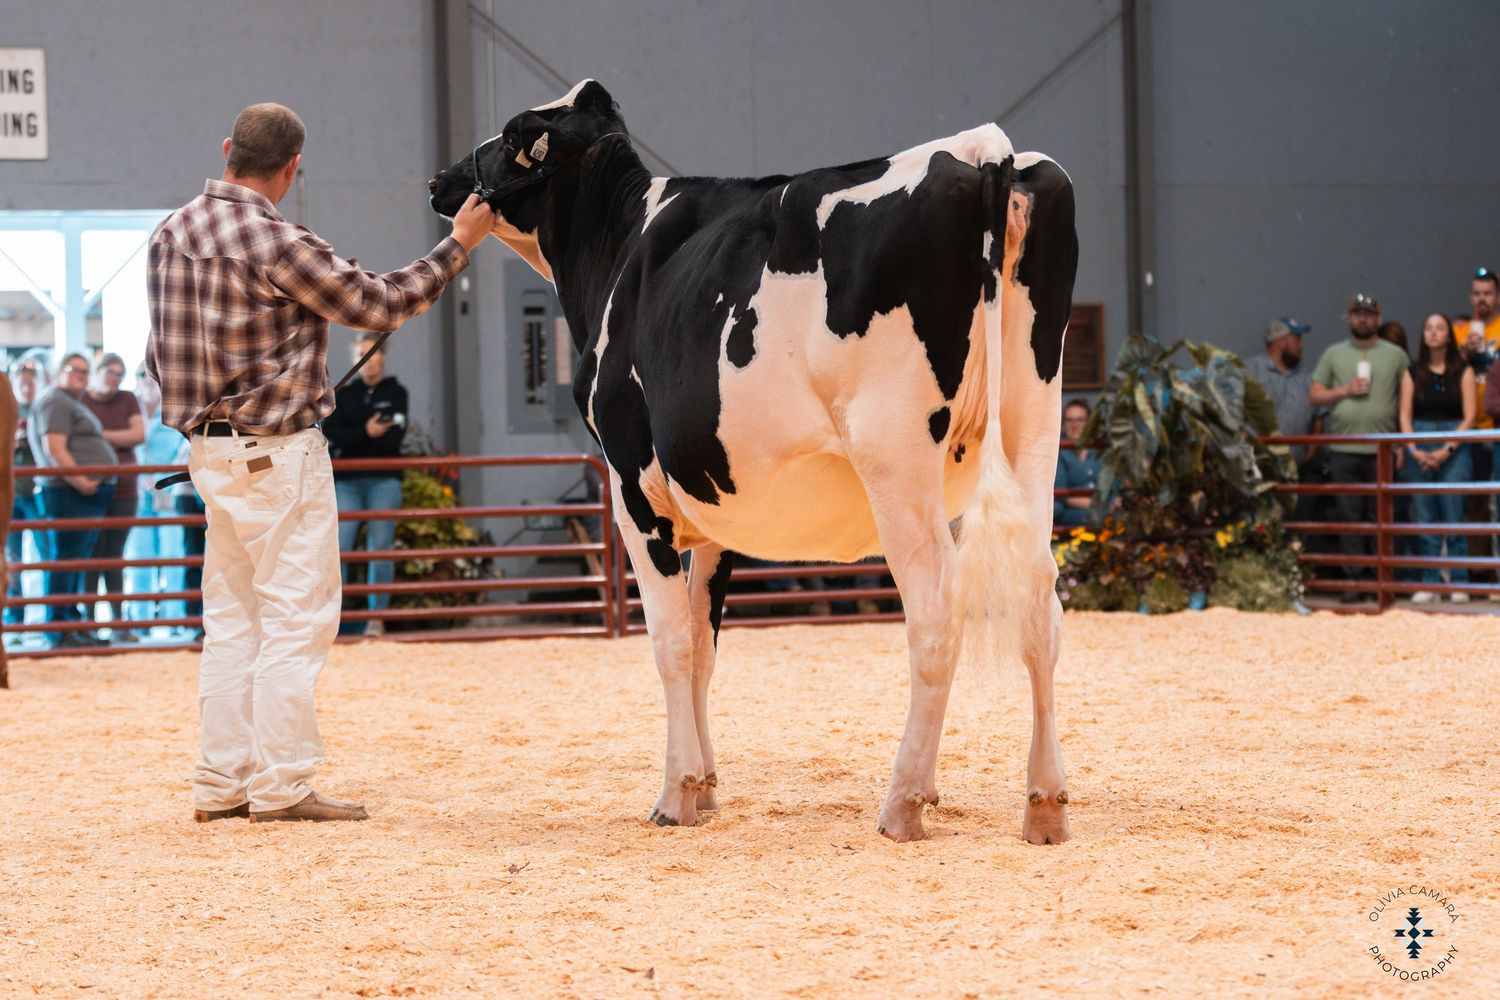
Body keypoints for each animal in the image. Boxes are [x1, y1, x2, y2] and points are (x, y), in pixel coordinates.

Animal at [428, 81, 1078, 844]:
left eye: (510, 136)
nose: (441, 182)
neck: (618, 245)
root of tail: (981, 150)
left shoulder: (633, 488)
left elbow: (671, 643)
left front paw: (675, 794)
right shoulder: (714, 507)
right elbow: (705, 647)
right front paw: (708, 788)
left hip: (896, 456)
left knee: (935, 612)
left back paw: (904, 803)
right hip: (1033, 424)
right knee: (1041, 603)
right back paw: (1044, 803)